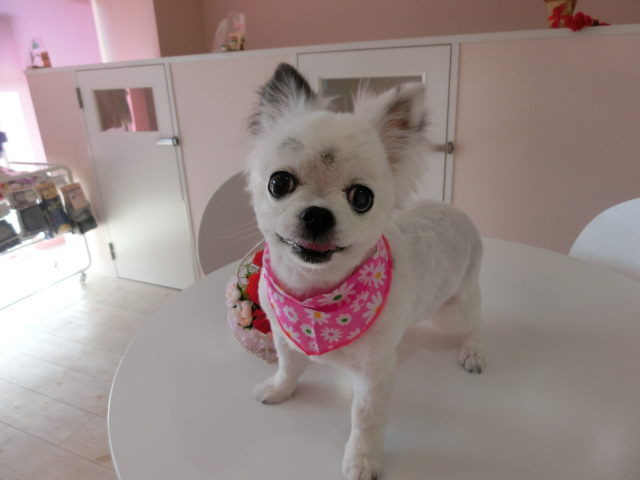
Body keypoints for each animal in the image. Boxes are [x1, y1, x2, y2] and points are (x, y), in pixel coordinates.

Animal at [245, 63, 486, 480]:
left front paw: (362, 459)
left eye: (361, 198)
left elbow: (366, 417)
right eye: (279, 182)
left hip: (453, 311)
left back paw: (472, 350)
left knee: (475, 320)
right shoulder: (284, 333)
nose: (317, 214)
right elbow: (289, 367)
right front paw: (279, 390)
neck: (316, 298)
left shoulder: (374, 375)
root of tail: (457, 212)